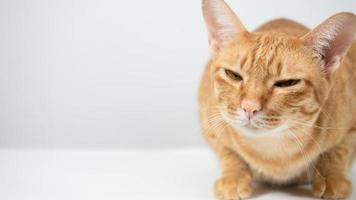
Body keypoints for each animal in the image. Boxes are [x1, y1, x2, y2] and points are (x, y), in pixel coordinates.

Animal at [197, 0, 356, 199]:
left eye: (287, 83)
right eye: (234, 75)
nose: (249, 108)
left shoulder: (350, 127)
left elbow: (337, 152)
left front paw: (330, 177)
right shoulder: (209, 123)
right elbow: (227, 152)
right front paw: (234, 177)